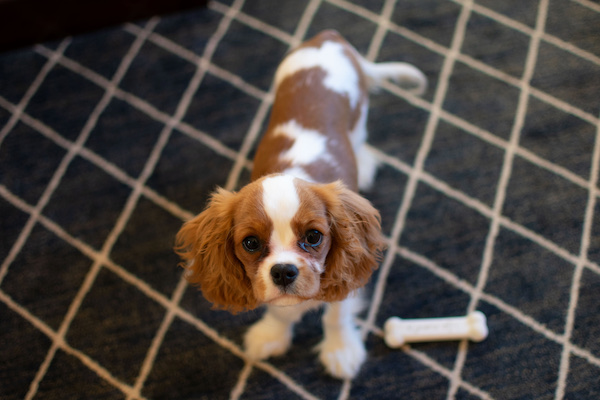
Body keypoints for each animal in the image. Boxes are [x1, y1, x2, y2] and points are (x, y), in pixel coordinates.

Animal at [175, 30, 426, 378]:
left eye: (313, 237)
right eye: (250, 243)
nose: (283, 272)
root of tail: (328, 37)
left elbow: (336, 314)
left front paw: (340, 350)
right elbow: (279, 310)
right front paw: (272, 334)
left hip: (359, 114)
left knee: (360, 137)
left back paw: (363, 162)